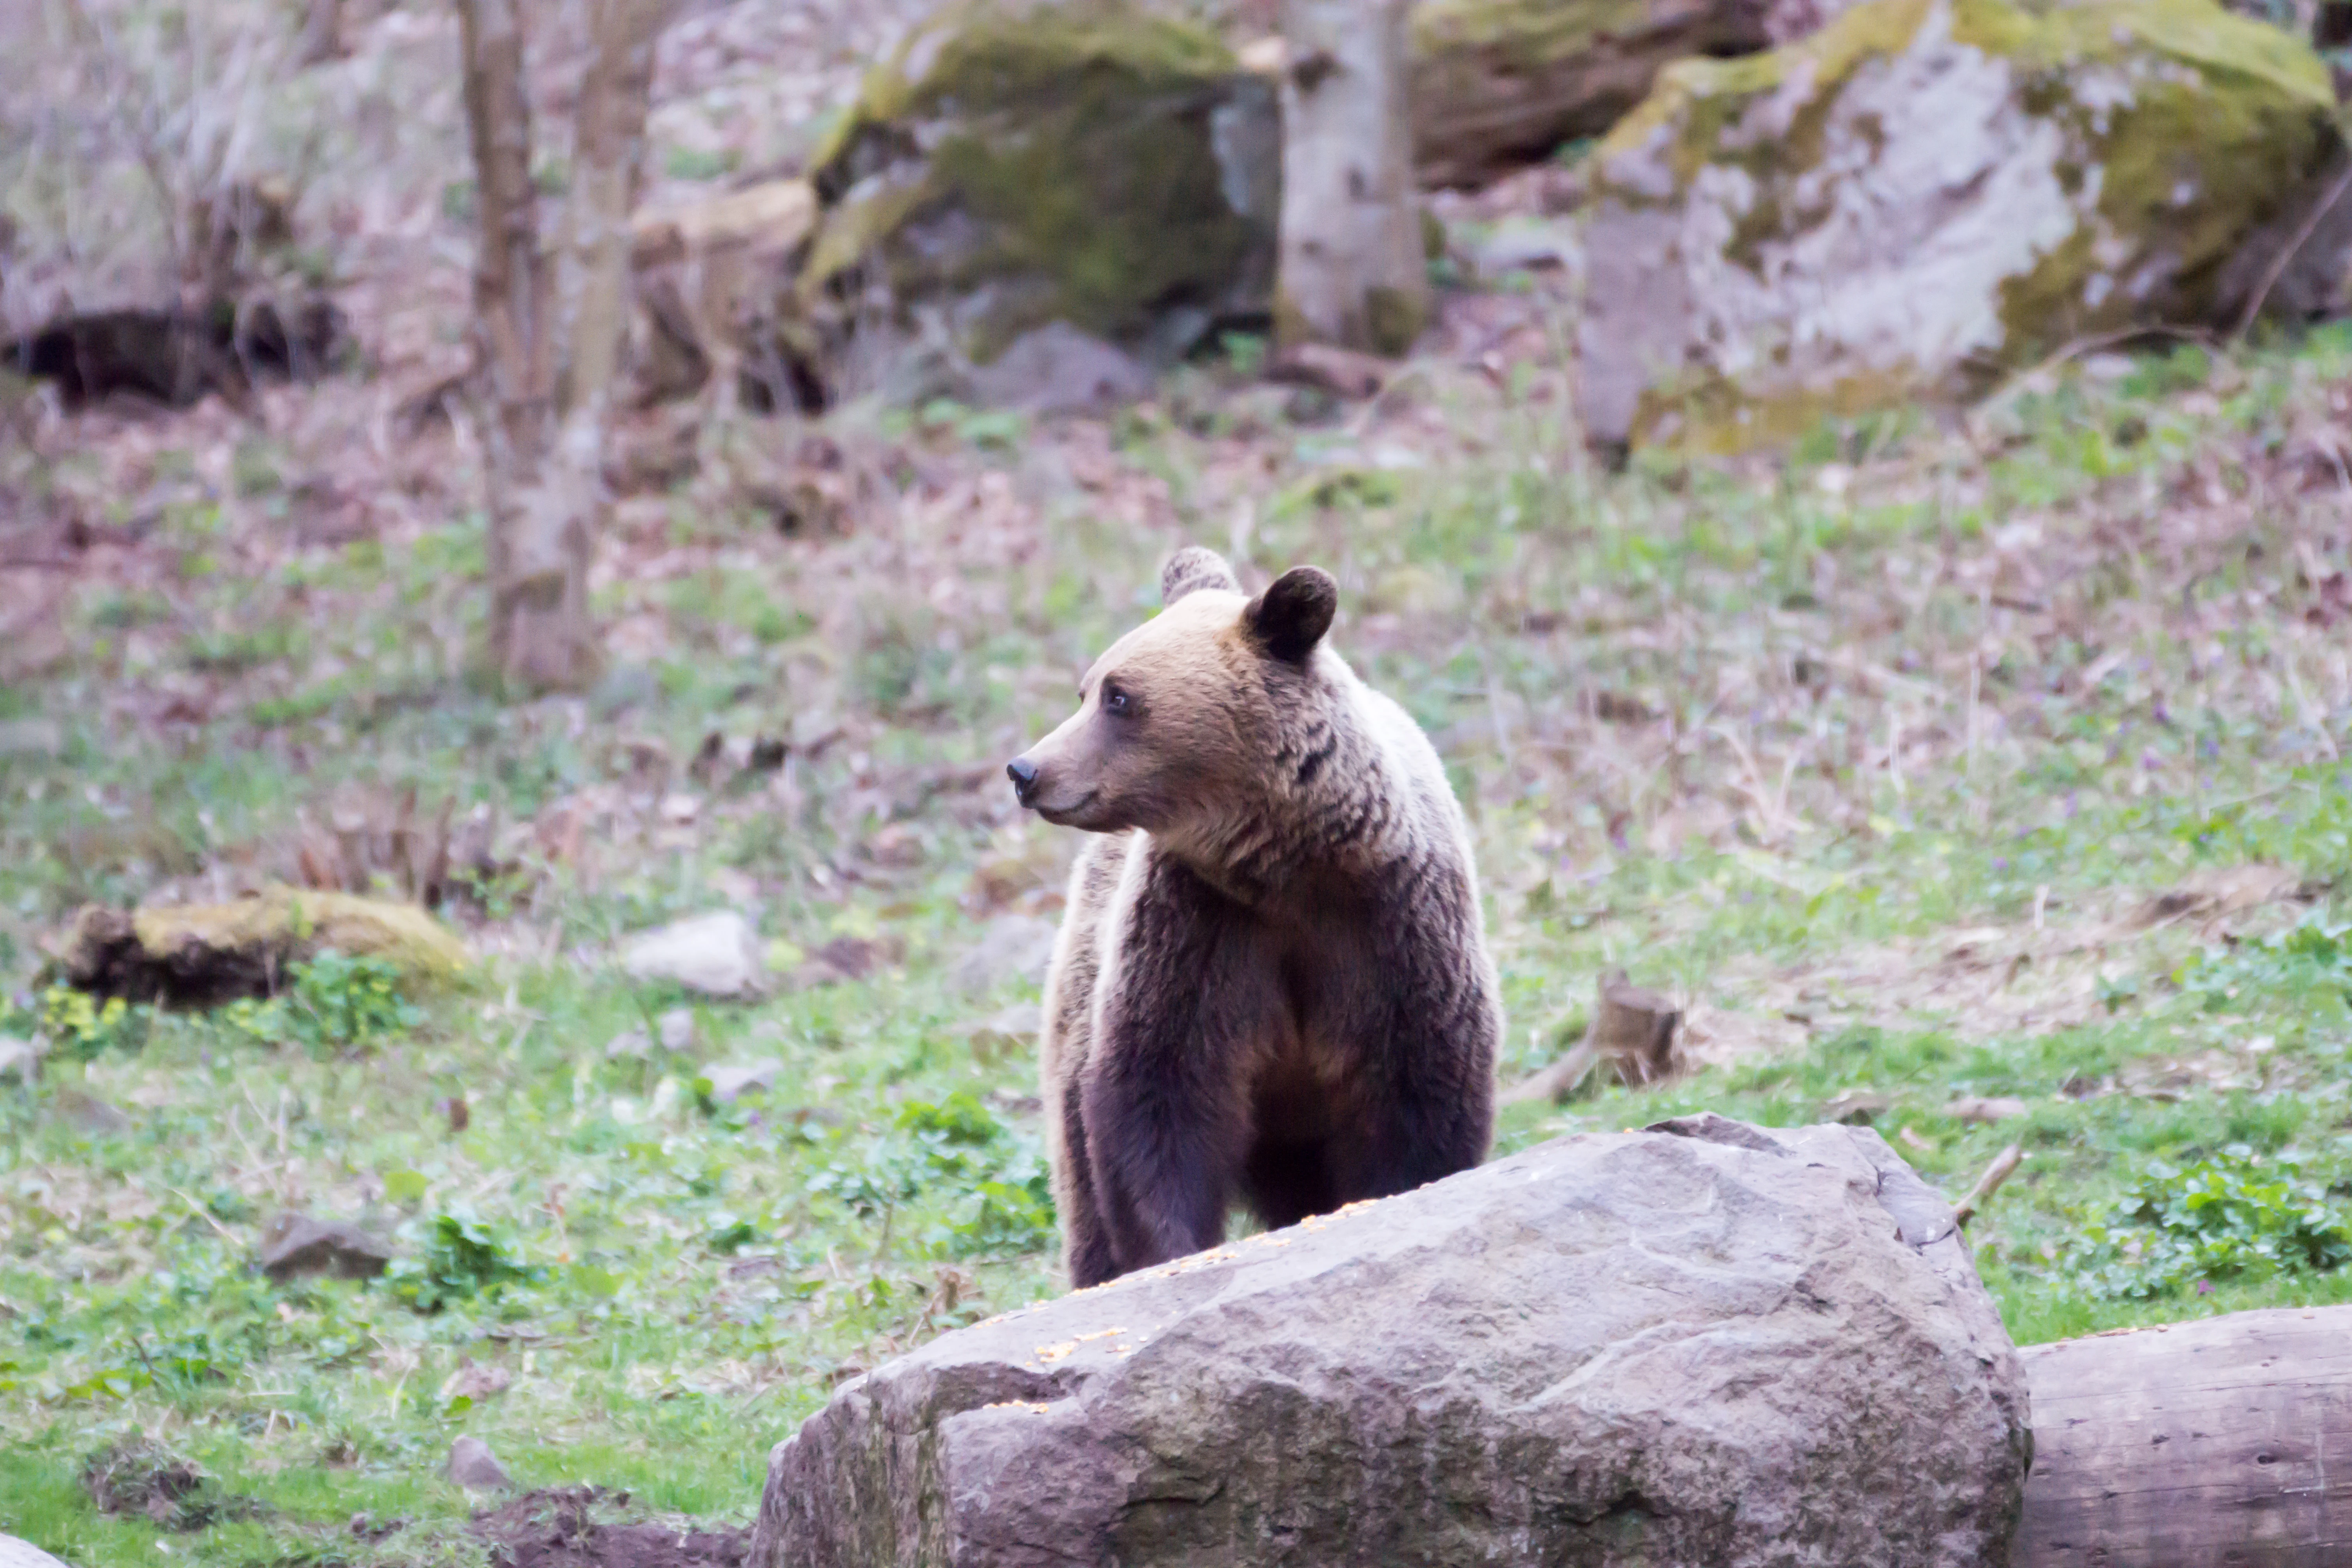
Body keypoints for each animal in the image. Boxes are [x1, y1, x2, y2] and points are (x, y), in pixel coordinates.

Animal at [1005, 546, 1500, 1288]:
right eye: (1086, 690)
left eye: (1119, 696)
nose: (1026, 770)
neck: (1289, 868)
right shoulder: (1200, 930)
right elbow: (1159, 1095)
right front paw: (1172, 1251)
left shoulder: (1390, 930)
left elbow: (1419, 1098)